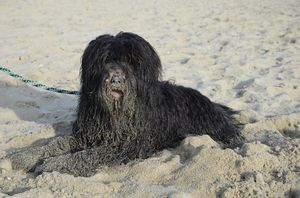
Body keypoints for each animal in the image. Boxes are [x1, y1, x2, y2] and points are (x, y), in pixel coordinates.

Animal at [7, 32, 244, 176]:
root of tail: (211, 103)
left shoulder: (128, 145)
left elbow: (89, 154)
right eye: (105, 60)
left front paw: (53, 164)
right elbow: (55, 143)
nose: (116, 78)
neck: (117, 114)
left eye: (131, 61)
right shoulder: (89, 134)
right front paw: (24, 156)